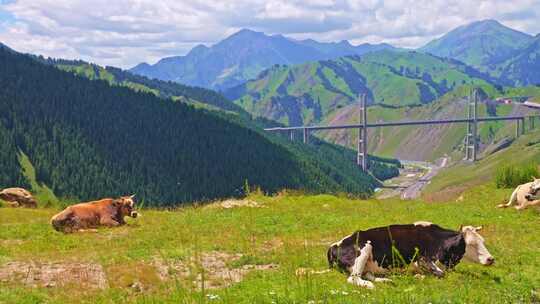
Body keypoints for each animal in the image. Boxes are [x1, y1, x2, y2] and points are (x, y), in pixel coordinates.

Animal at [326, 221, 496, 288]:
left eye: (482, 241)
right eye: (472, 244)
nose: (490, 259)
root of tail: (334, 245)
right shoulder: (422, 259)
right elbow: (440, 274)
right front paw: (419, 276)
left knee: (367, 274)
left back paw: (387, 280)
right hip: (363, 249)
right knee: (354, 278)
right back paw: (371, 285)